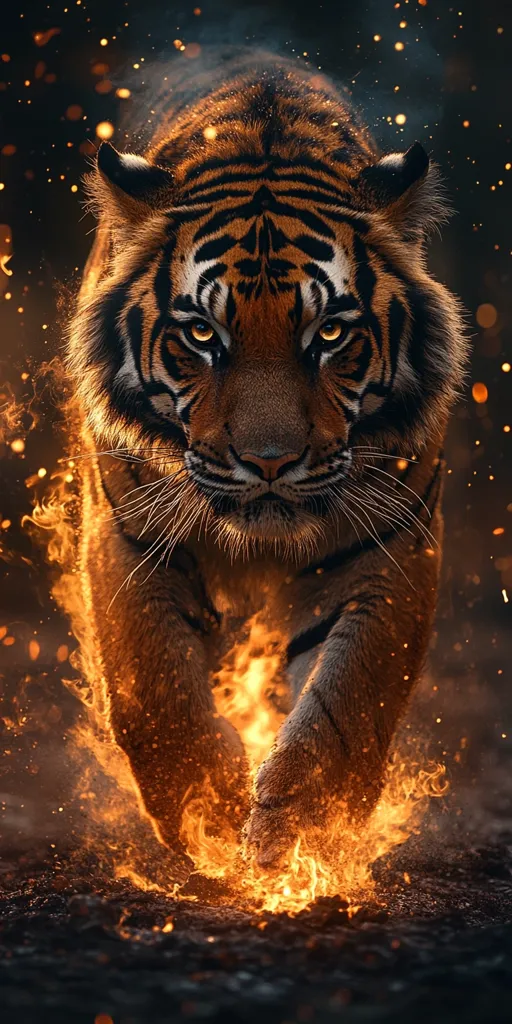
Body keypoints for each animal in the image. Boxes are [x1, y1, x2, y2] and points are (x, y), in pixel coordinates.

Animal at [67, 52, 467, 870]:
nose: (270, 461)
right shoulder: (125, 535)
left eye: (331, 334)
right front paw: (209, 815)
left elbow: (350, 697)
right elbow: (153, 686)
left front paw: (304, 827)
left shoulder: (395, 545)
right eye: (201, 334)